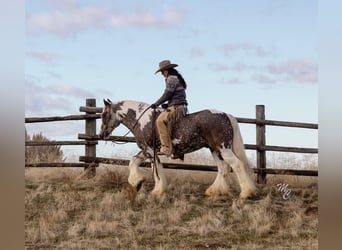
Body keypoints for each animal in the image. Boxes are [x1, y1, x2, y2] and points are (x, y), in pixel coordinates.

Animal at [99, 98, 256, 198]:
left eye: (104, 114)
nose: (101, 134)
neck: (141, 120)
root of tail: (226, 115)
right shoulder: (146, 150)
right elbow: (133, 162)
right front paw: (137, 182)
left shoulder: (149, 150)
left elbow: (156, 169)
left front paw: (157, 190)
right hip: (215, 149)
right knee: (223, 167)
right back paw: (214, 191)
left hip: (223, 148)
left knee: (236, 165)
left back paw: (246, 193)